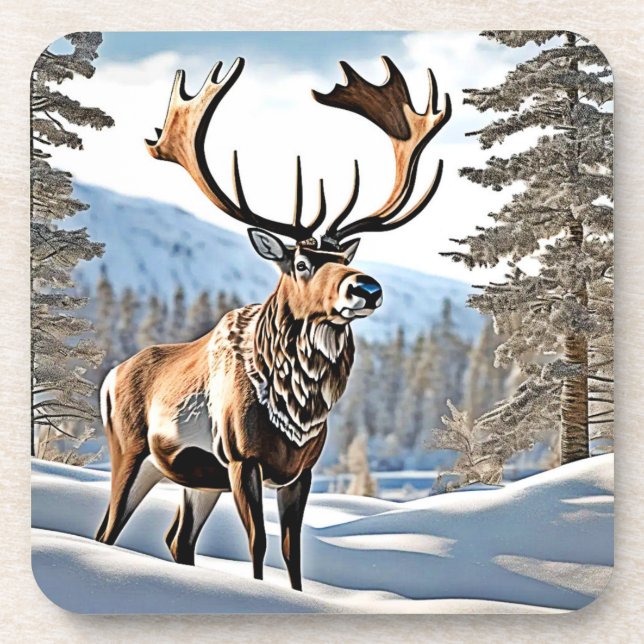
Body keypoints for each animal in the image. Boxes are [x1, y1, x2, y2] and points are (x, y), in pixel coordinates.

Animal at [95, 56, 451, 591]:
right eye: (301, 262)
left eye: (342, 257)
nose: (366, 288)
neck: (297, 405)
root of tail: (111, 377)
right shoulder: (244, 460)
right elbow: (259, 546)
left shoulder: (301, 469)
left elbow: (292, 552)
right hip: (132, 451)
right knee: (107, 530)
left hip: (194, 478)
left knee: (177, 540)